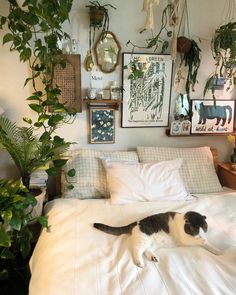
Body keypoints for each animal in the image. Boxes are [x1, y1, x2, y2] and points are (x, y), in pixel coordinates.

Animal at [93, 210, 221, 268]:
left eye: (204, 227)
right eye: (195, 229)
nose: (201, 234)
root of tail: (136, 222)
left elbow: (209, 245)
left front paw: (216, 251)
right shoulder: (185, 238)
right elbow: (195, 240)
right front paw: (203, 240)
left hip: (154, 243)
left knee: (146, 250)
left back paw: (153, 257)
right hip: (143, 239)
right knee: (137, 249)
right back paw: (139, 262)